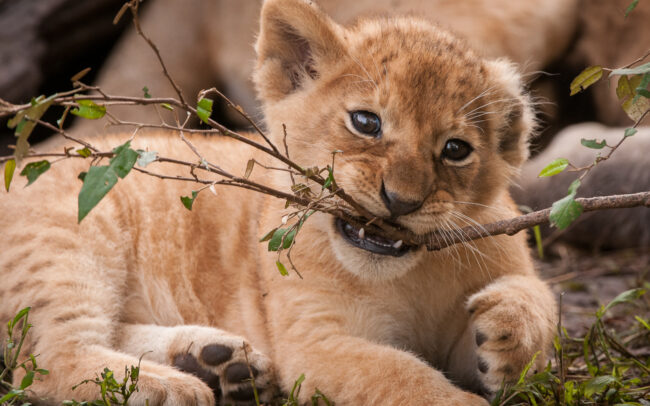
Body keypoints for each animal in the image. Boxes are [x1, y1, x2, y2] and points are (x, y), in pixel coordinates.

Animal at [1, 0, 556, 404]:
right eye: (367, 122)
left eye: (456, 150)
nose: (400, 201)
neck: (409, 278)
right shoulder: (315, 343)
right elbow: (403, 376)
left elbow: (540, 300)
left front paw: (510, 328)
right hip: (66, 237)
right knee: (47, 360)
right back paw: (175, 385)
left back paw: (216, 362)